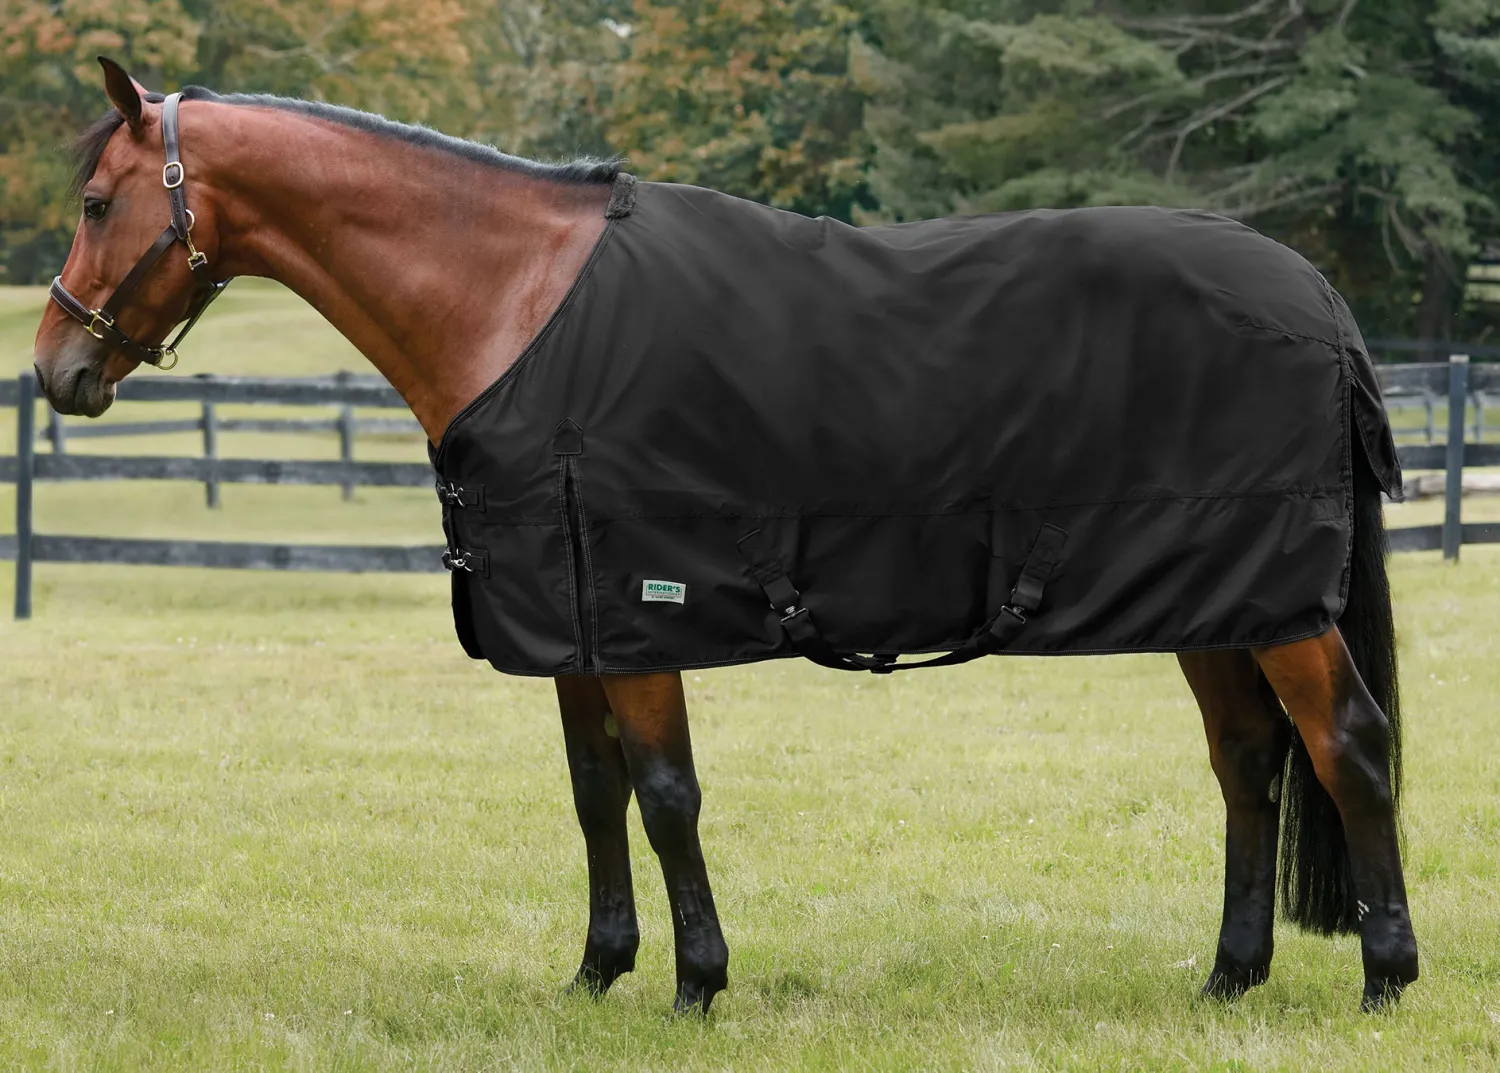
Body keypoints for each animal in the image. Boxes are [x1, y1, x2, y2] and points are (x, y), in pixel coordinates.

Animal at [32, 58, 1417, 1016]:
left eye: (97, 201)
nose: (54, 371)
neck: (516, 306)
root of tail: (1317, 294)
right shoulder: (572, 618)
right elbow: (593, 793)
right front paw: (599, 972)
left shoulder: (645, 608)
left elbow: (665, 793)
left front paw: (698, 980)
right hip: (1220, 600)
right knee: (1249, 758)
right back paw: (1230, 976)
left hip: (1276, 604)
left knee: (1346, 741)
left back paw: (1386, 974)